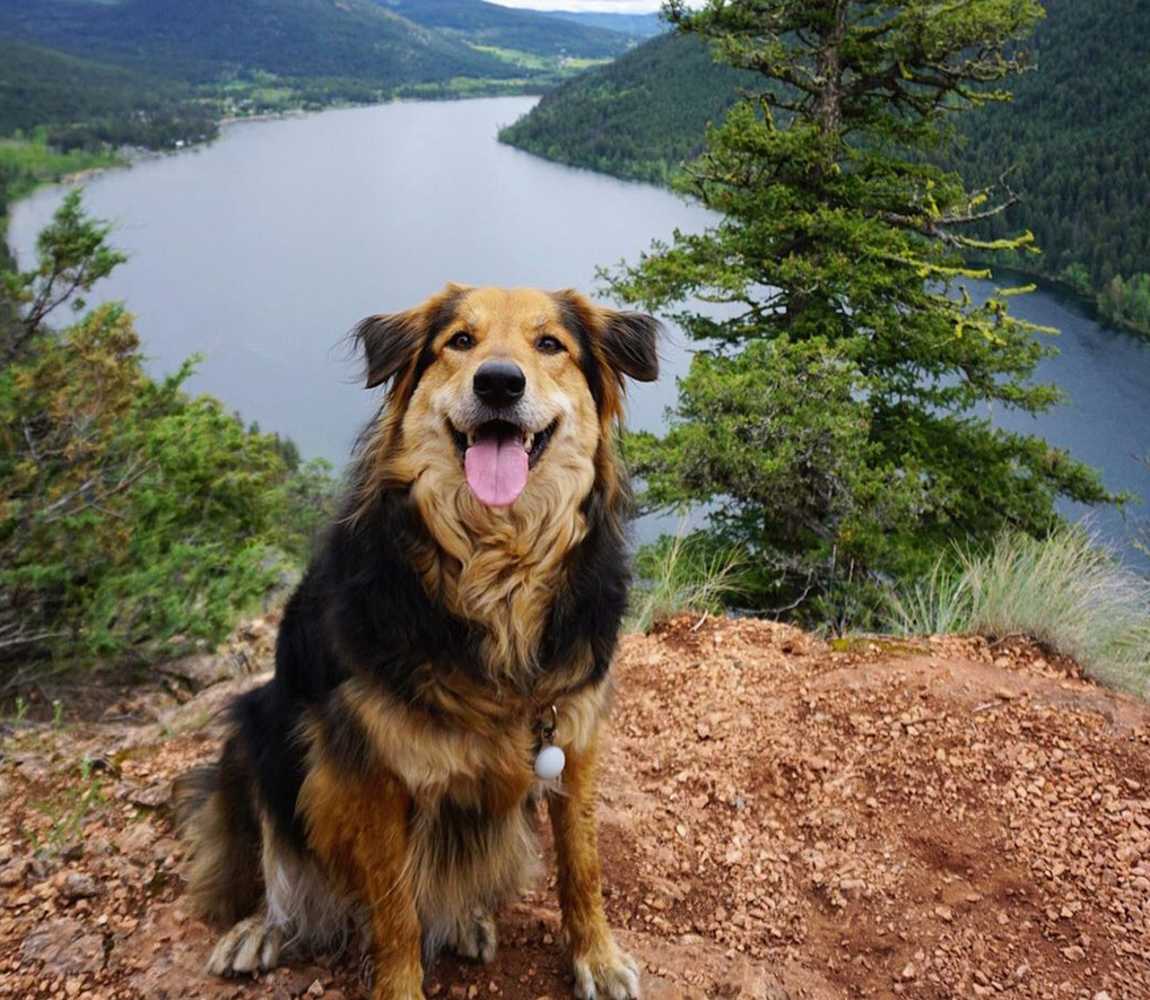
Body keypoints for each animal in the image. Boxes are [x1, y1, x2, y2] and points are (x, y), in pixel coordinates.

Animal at [170, 283, 657, 1000]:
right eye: (460, 341)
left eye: (550, 344)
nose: (499, 382)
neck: (496, 566)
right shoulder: (371, 765)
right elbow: (394, 906)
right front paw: (398, 984)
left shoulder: (574, 735)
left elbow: (582, 862)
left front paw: (596, 958)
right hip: (259, 726)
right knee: (271, 856)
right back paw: (261, 927)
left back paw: (468, 920)